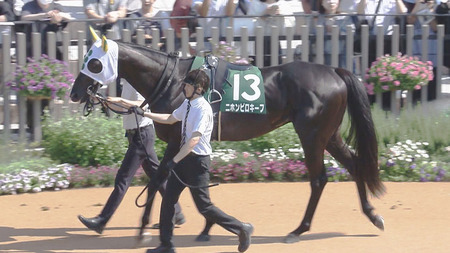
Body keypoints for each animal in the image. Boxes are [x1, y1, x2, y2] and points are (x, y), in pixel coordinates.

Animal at [69, 40, 384, 244]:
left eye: (94, 62)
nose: (74, 93)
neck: (173, 80)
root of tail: (335, 71)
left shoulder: (179, 138)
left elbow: (161, 179)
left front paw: (145, 228)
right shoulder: (184, 140)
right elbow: (181, 181)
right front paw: (205, 226)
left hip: (312, 135)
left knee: (319, 179)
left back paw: (298, 230)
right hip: (329, 135)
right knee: (355, 165)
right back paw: (372, 215)